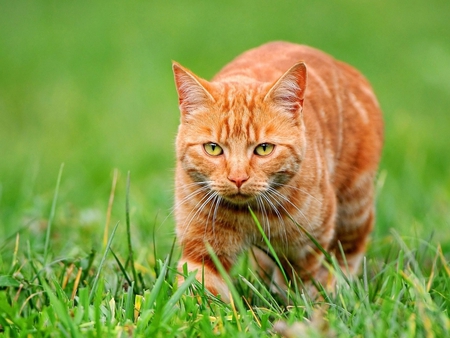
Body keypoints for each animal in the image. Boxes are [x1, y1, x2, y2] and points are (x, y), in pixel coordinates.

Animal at [172, 41, 384, 302]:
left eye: (264, 149)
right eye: (213, 148)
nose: (238, 178)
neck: (249, 214)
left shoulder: (306, 247)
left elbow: (298, 285)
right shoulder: (201, 249)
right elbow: (201, 293)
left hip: (354, 208)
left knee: (347, 254)